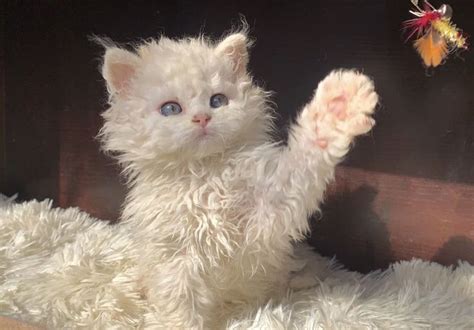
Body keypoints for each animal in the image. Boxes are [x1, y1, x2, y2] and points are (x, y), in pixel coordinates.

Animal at [101, 31, 378, 328]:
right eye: (171, 109)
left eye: (217, 101)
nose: (202, 117)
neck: (206, 175)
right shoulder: (173, 257)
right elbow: (180, 304)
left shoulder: (268, 211)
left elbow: (303, 159)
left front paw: (339, 106)